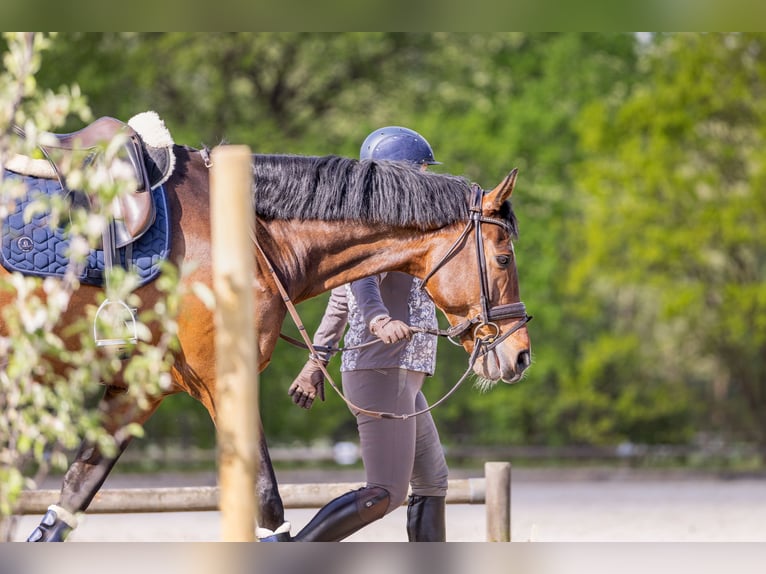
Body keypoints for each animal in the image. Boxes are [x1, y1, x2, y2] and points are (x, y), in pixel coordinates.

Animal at [3, 133, 531, 542]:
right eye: (503, 258)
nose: (520, 355)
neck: (250, 235)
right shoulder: (223, 384)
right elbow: (269, 506)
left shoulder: (138, 389)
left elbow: (72, 495)